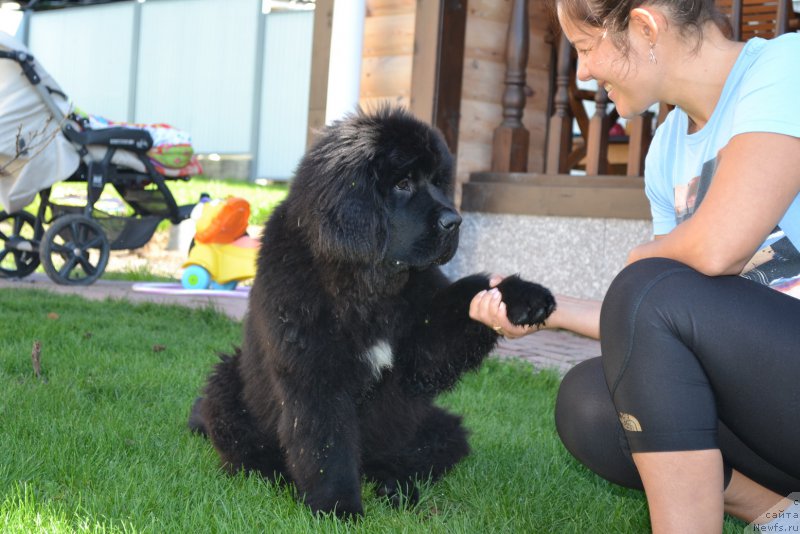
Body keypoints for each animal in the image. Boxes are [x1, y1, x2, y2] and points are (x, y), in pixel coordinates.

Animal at [192, 108, 556, 520]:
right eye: (402, 183)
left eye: (436, 182)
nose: (455, 222)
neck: (369, 286)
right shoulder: (315, 372)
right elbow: (327, 446)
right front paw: (339, 508)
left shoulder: (422, 345)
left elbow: (464, 298)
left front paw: (522, 297)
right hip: (225, 387)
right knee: (250, 455)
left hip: (436, 427)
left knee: (412, 454)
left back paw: (394, 486)